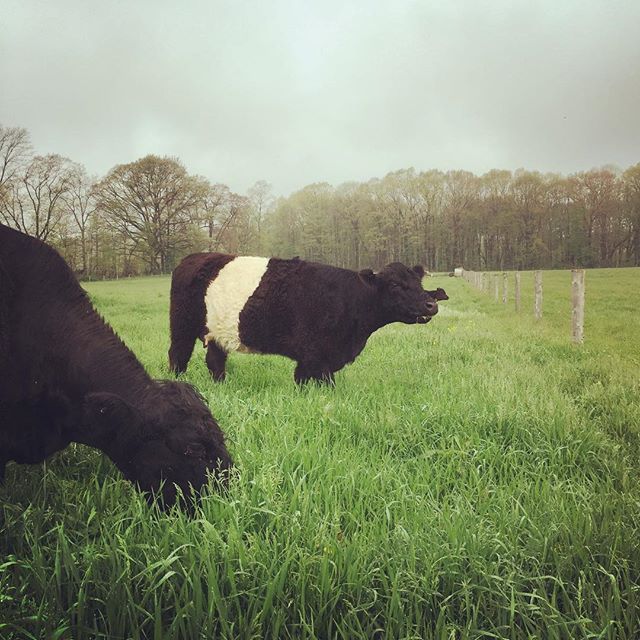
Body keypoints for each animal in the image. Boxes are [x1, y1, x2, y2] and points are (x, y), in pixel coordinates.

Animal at [170, 252, 450, 384]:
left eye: (418, 283)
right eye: (395, 285)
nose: (430, 305)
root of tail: (193, 257)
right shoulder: (314, 354)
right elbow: (319, 382)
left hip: (217, 333)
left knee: (215, 361)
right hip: (181, 326)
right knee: (178, 356)